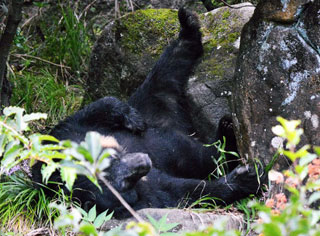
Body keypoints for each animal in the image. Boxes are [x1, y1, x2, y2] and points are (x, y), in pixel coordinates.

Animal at [32, 6, 264, 218]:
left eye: (107, 163)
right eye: (124, 183)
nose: (144, 162)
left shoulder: (66, 138)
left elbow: (91, 111)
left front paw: (132, 119)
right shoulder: (143, 196)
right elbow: (180, 192)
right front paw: (245, 178)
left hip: (152, 106)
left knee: (165, 72)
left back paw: (187, 25)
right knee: (209, 156)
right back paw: (227, 136)